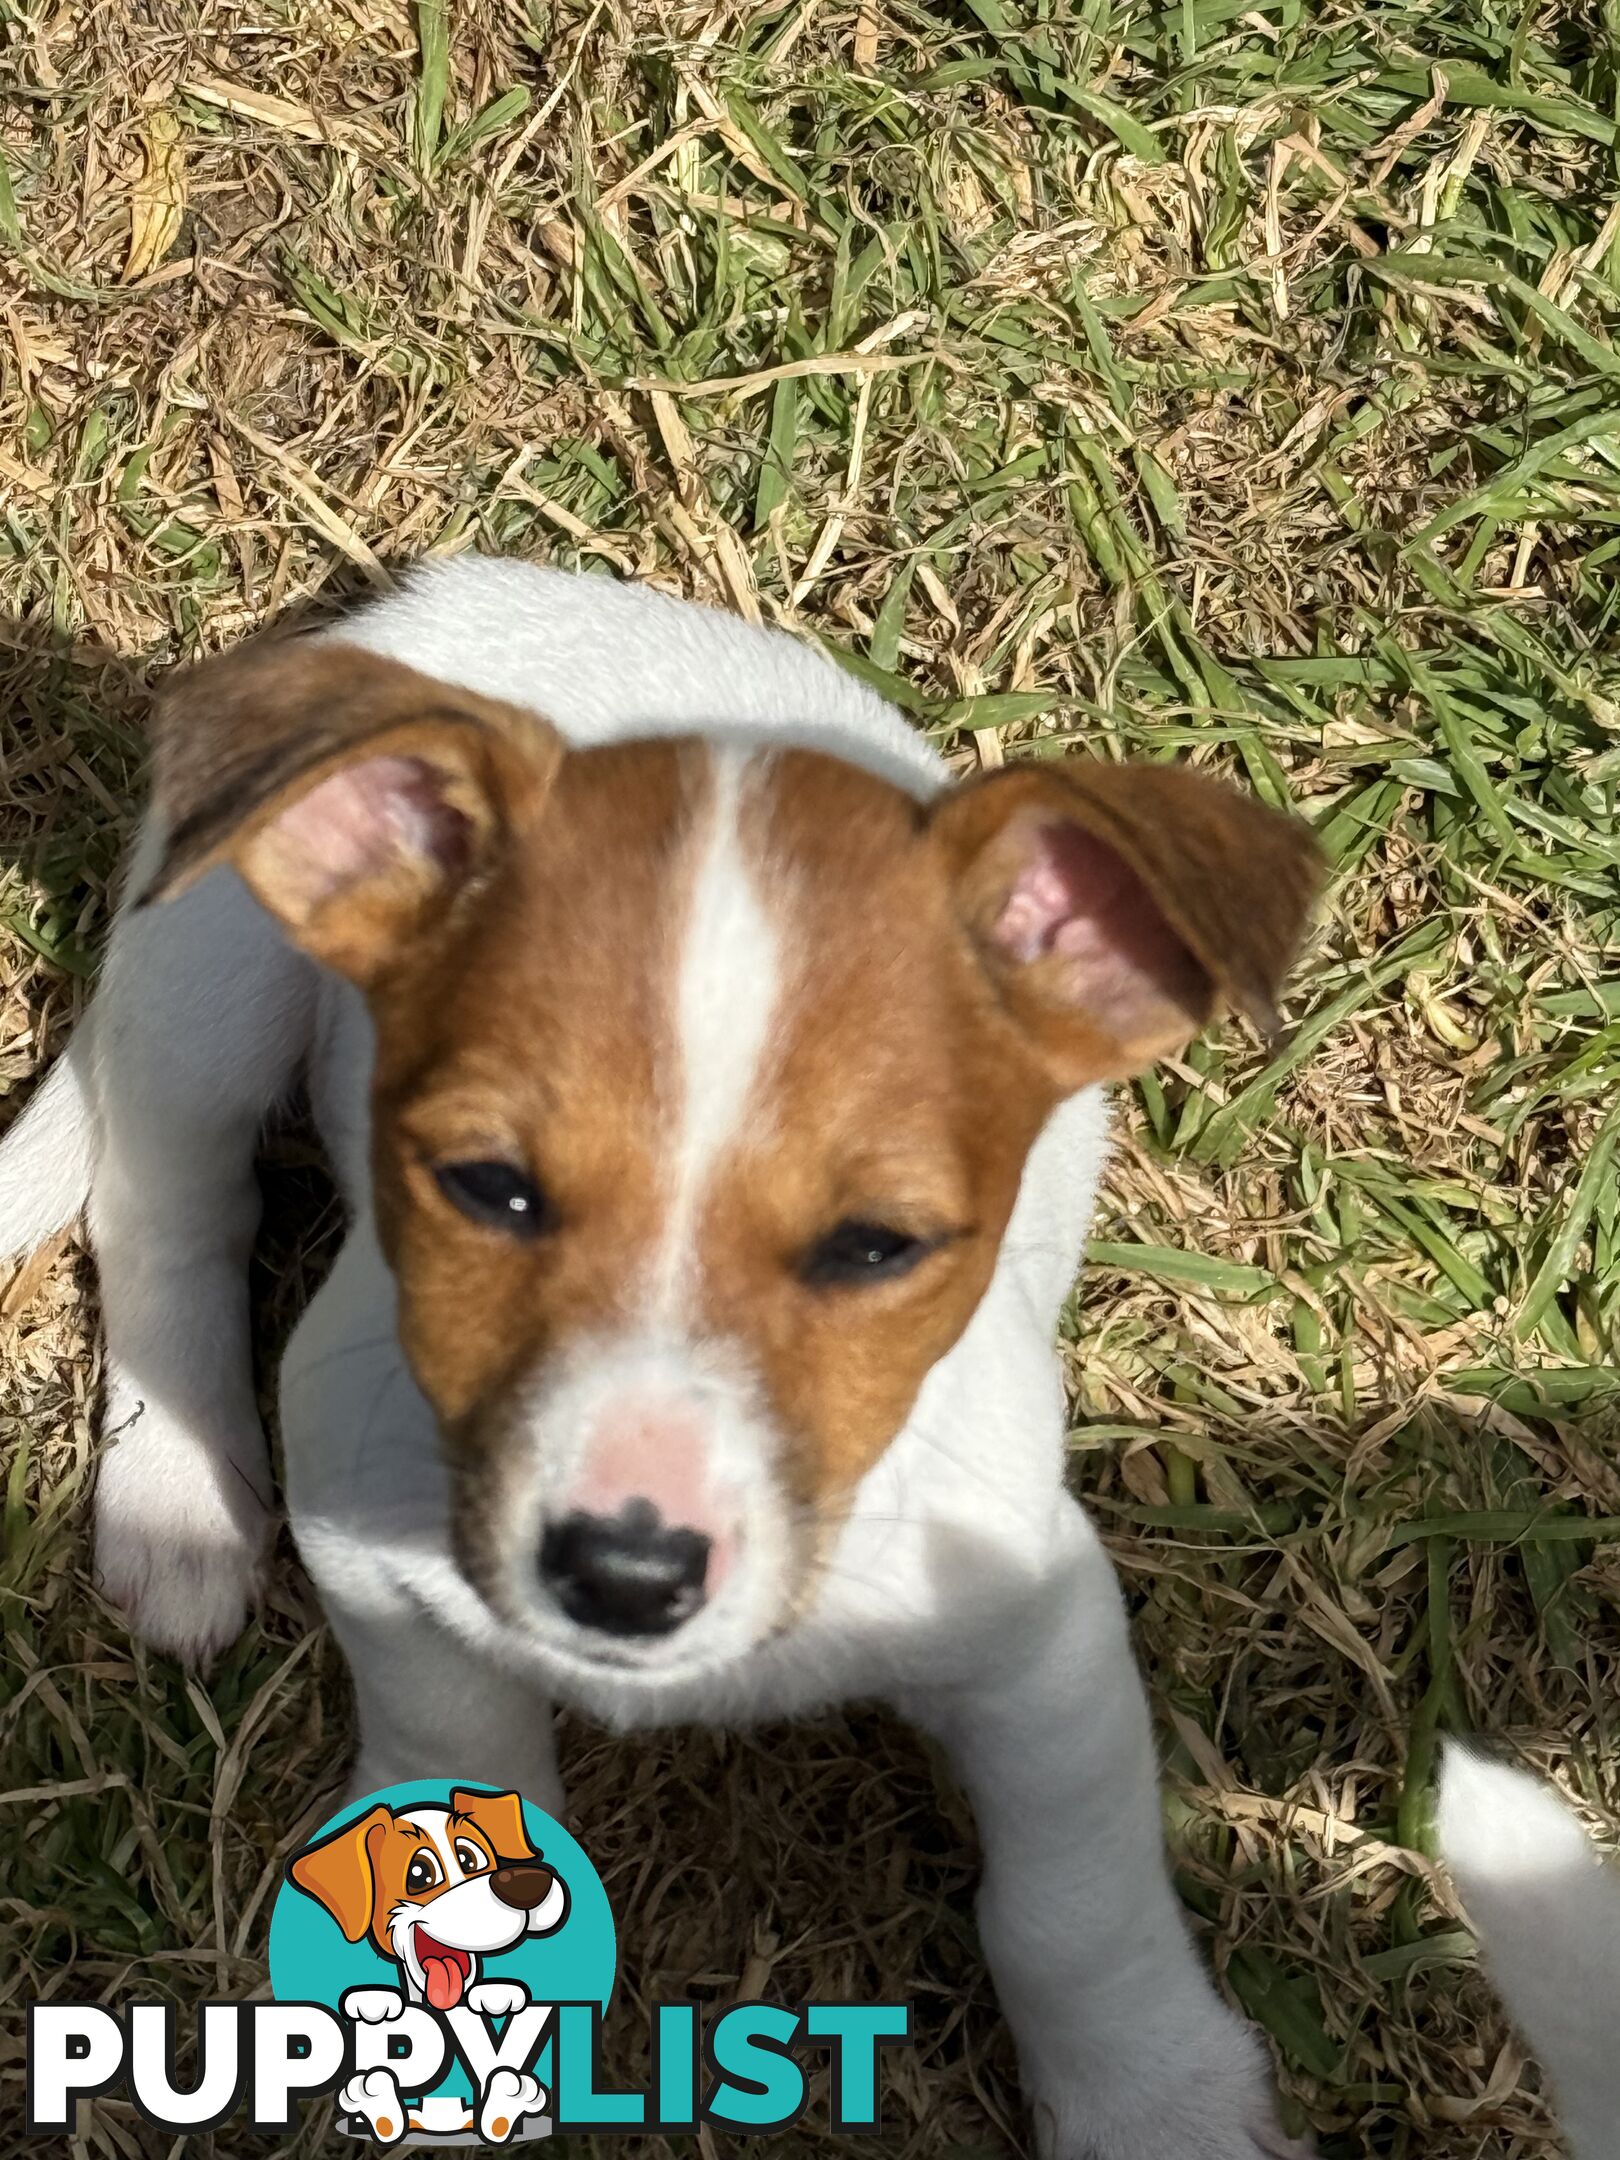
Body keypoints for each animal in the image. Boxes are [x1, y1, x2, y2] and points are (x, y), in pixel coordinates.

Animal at [0, 561, 1321, 2160]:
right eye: (488, 1188)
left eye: (876, 1246)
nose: (624, 1576)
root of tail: (429, 591)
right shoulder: (379, 1561)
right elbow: (458, 1734)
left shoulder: (1041, 1643)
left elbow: (1076, 1909)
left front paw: (1154, 2100)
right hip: (215, 968)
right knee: (169, 1207)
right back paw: (180, 1505)